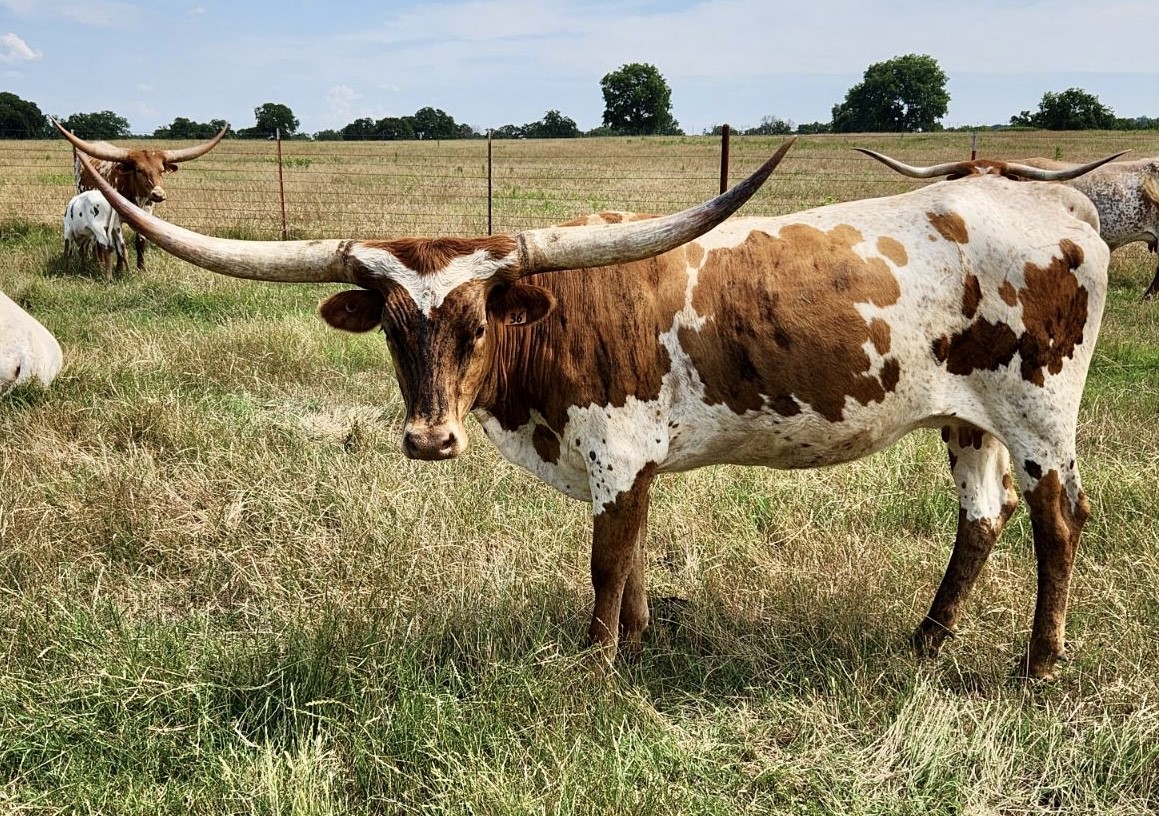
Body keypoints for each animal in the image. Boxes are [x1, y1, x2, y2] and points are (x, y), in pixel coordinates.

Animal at [53, 119, 228, 273]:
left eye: (161, 170)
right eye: (139, 170)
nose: (158, 194)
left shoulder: (146, 212)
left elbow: (140, 241)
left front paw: (142, 269)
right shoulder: (116, 217)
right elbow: (119, 244)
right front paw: (119, 269)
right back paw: (98, 261)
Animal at [75, 140, 1117, 681]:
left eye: (477, 324)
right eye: (393, 330)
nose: (428, 438)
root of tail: (1065, 210)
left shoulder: (615, 452)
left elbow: (606, 563)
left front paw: (595, 664)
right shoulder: (633, 463)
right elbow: (636, 556)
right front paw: (640, 640)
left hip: (1038, 414)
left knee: (1058, 520)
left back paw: (1039, 663)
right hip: (969, 421)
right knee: (982, 519)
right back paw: (925, 639)